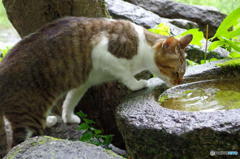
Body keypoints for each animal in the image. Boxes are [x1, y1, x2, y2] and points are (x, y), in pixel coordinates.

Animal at [0, 16, 191, 157]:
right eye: (176, 73)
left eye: (182, 73)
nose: (179, 83)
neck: (142, 47)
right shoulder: (103, 53)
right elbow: (125, 73)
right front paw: (137, 84)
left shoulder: (83, 82)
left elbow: (70, 101)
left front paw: (69, 117)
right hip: (28, 118)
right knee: (16, 144)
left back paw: (50, 119)